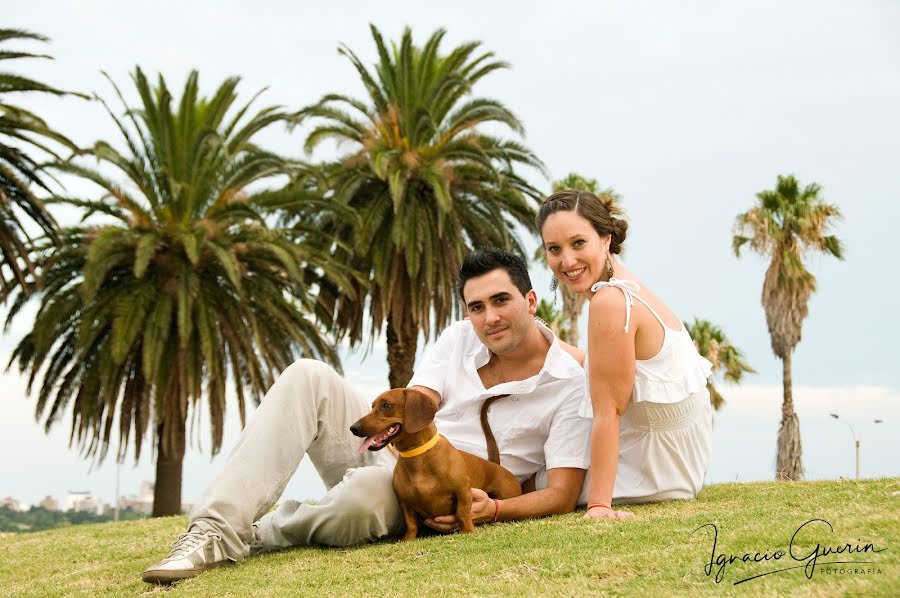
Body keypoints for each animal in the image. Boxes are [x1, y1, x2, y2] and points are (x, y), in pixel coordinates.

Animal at [350, 390, 520, 544]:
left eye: (386, 405)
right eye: (372, 406)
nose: (353, 428)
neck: (418, 458)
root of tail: (493, 465)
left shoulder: (463, 490)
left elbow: (462, 513)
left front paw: (468, 531)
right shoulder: (404, 501)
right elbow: (411, 524)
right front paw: (407, 539)